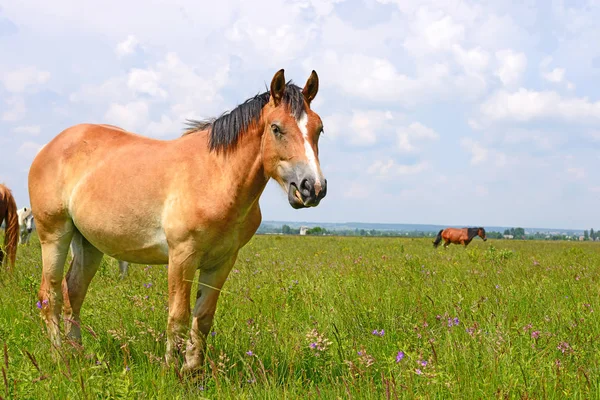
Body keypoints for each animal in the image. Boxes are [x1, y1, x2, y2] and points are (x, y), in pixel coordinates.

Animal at [28, 69, 328, 372]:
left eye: (319, 129)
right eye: (276, 128)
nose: (312, 188)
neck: (216, 176)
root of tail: (50, 147)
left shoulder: (222, 261)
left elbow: (203, 317)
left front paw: (193, 371)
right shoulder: (183, 256)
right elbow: (178, 317)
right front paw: (172, 371)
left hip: (88, 244)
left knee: (73, 294)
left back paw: (78, 354)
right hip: (54, 235)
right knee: (50, 296)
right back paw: (60, 358)